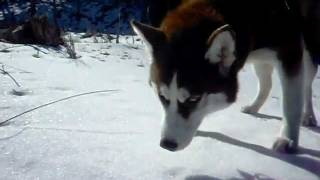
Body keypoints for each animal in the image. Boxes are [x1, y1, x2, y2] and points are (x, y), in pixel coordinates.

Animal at [131, 0, 318, 153]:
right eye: (162, 96)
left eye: (194, 99)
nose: (167, 144)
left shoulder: (290, 50)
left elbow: (291, 104)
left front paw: (288, 140)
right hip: (260, 58)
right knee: (266, 83)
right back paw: (254, 107)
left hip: (308, 48)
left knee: (307, 84)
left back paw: (308, 117)